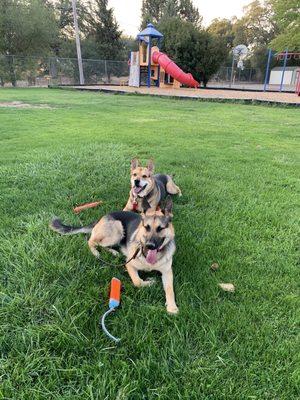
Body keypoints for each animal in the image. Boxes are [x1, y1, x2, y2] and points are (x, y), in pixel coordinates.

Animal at [49, 198, 178, 314]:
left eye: (160, 228)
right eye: (147, 227)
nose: (149, 245)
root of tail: (102, 217)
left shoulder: (167, 272)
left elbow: (170, 289)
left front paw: (172, 306)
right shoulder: (129, 264)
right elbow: (137, 281)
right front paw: (150, 282)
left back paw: (114, 252)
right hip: (117, 228)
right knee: (92, 241)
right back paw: (96, 252)